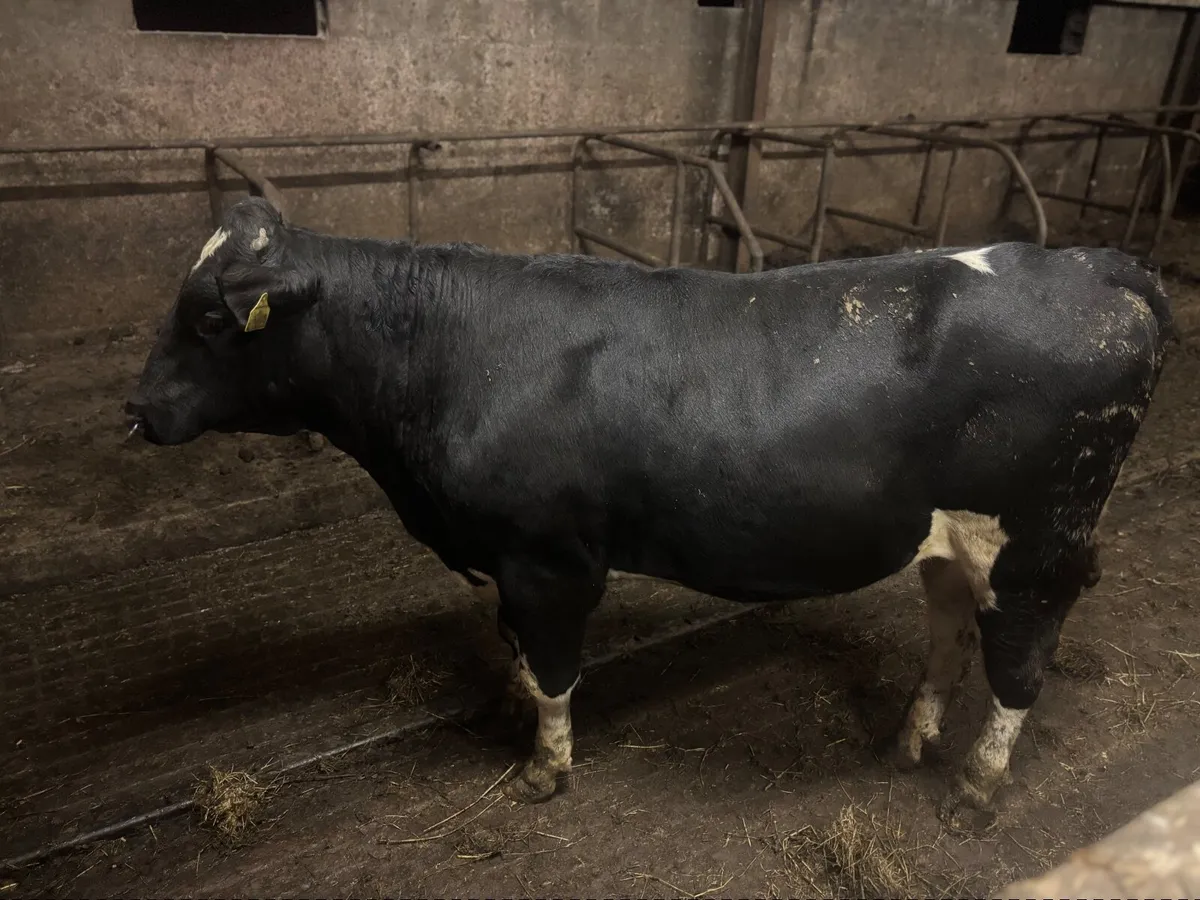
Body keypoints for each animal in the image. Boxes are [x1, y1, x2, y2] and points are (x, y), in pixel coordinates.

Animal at [126, 197, 1173, 822]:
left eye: (211, 318)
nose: (135, 411)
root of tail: (1096, 264)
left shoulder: (548, 560)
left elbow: (554, 671)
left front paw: (545, 767)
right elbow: (517, 654)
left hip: (1038, 545)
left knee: (1020, 667)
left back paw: (978, 786)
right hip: (956, 541)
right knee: (951, 631)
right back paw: (911, 741)